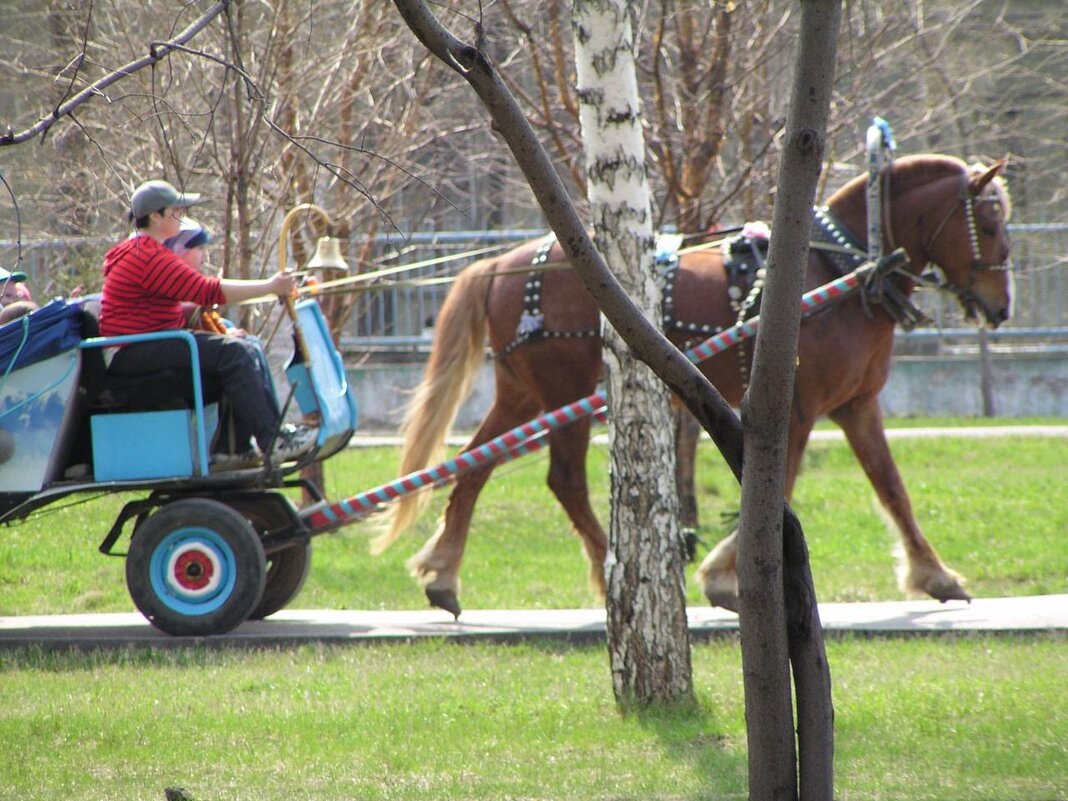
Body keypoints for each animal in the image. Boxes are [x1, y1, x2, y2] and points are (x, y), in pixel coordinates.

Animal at [373, 156, 1008, 619]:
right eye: (990, 223)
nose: (1002, 307)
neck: (836, 271)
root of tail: (502, 264)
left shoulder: (857, 407)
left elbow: (892, 489)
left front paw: (936, 575)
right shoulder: (796, 409)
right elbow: (780, 486)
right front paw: (722, 575)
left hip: (523, 393)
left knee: (475, 463)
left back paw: (445, 572)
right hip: (561, 391)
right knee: (564, 480)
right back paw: (608, 571)